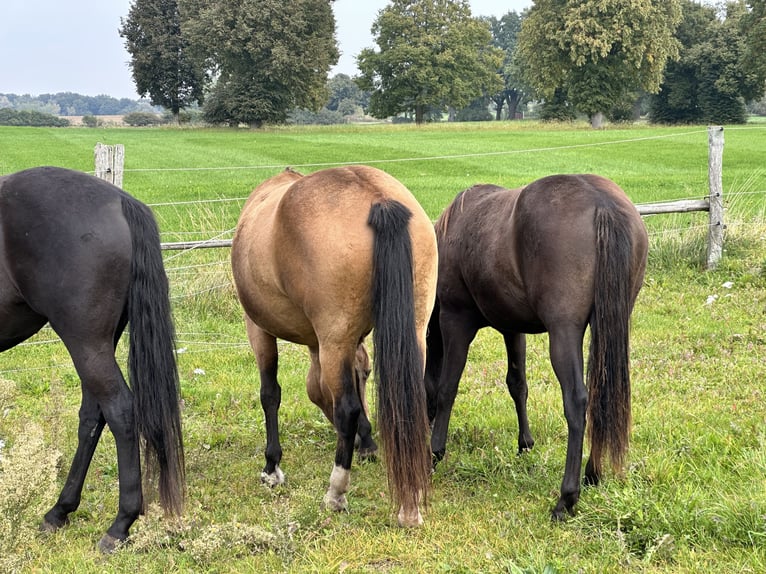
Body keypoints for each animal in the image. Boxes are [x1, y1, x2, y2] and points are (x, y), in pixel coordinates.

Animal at [0, 166, 185, 552]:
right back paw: (59, 510)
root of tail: (120, 201)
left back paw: (120, 524)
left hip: (84, 341)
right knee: (92, 416)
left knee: (119, 410)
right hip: (99, 343)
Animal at [231, 165, 438, 526]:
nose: (363, 444)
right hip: (412, 328)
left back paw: (335, 493)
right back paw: (409, 504)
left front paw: (272, 467)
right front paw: (368, 441)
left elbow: (270, 394)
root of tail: (377, 198)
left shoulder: (259, 329)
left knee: (347, 411)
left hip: (333, 339)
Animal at [425, 174, 648, 520]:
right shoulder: (512, 329)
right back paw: (593, 473)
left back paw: (566, 498)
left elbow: (447, 388)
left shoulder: (455, 321)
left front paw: (435, 452)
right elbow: (518, 384)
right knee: (601, 395)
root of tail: (603, 204)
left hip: (563, 332)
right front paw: (525, 443)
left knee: (577, 401)